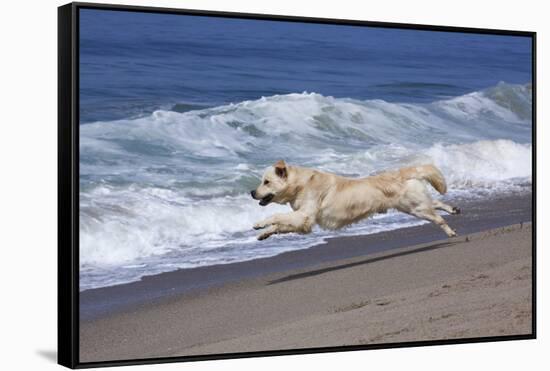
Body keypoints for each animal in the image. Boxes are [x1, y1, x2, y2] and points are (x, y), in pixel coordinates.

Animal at [252, 160, 460, 241]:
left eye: (266, 182)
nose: (252, 192)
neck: (301, 184)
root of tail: (402, 172)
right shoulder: (304, 223)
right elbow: (280, 224)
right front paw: (265, 233)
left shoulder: (305, 216)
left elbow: (276, 216)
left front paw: (259, 223)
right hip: (411, 206)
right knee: (435, 203)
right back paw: (453, 209)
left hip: (416, 208)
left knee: (437, 217)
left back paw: (450, 231)